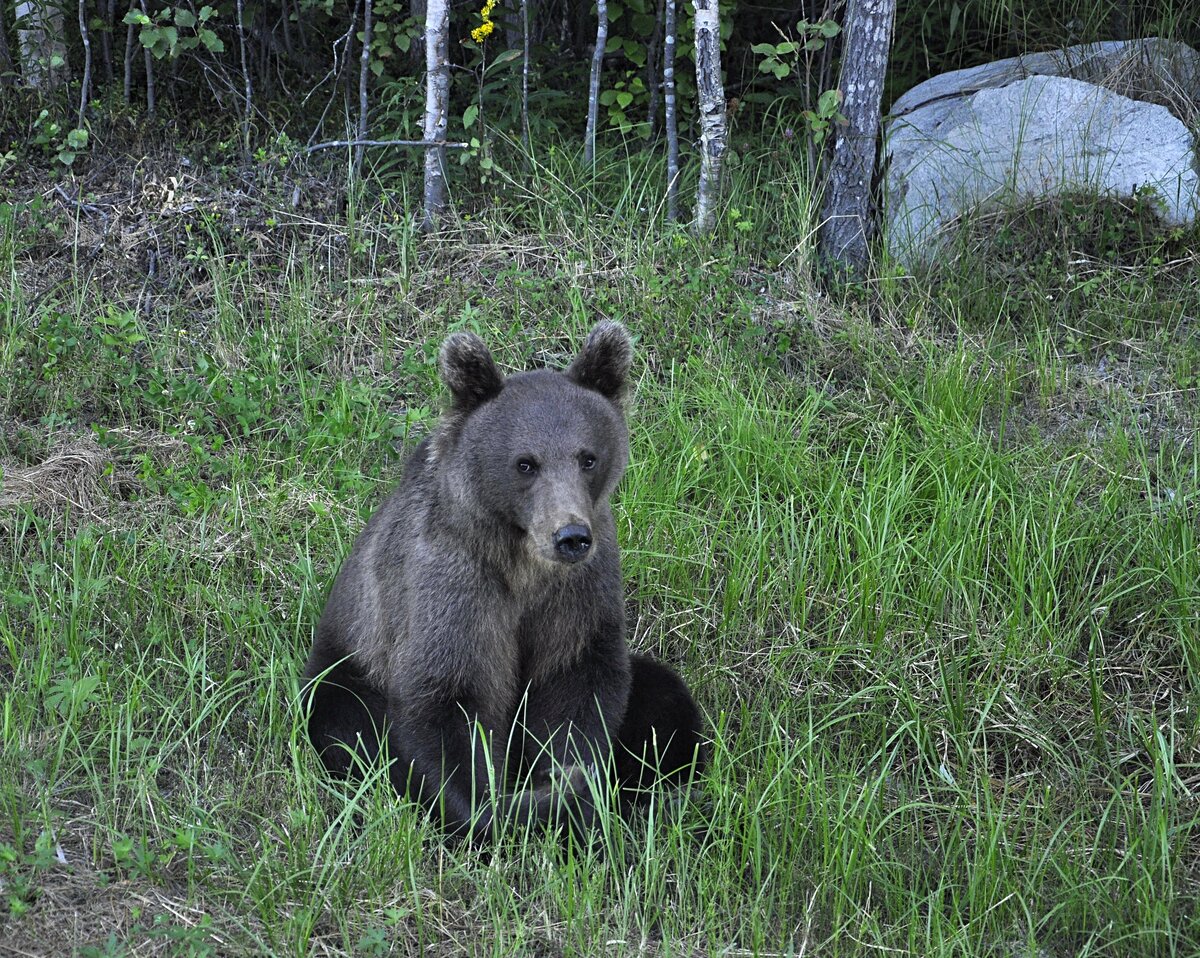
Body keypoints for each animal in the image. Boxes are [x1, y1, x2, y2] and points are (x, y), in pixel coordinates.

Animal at [300, 321, 705, 840]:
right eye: (525, 462)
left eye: (587, 458)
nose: (570, 536)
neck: (522, 563)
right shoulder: (453, 587)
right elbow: (447, 700)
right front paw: (500, 807)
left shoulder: (580, 590)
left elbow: (578, 682)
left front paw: (571, 785)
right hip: (348, 668)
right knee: (351, 733)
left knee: (664, 695)